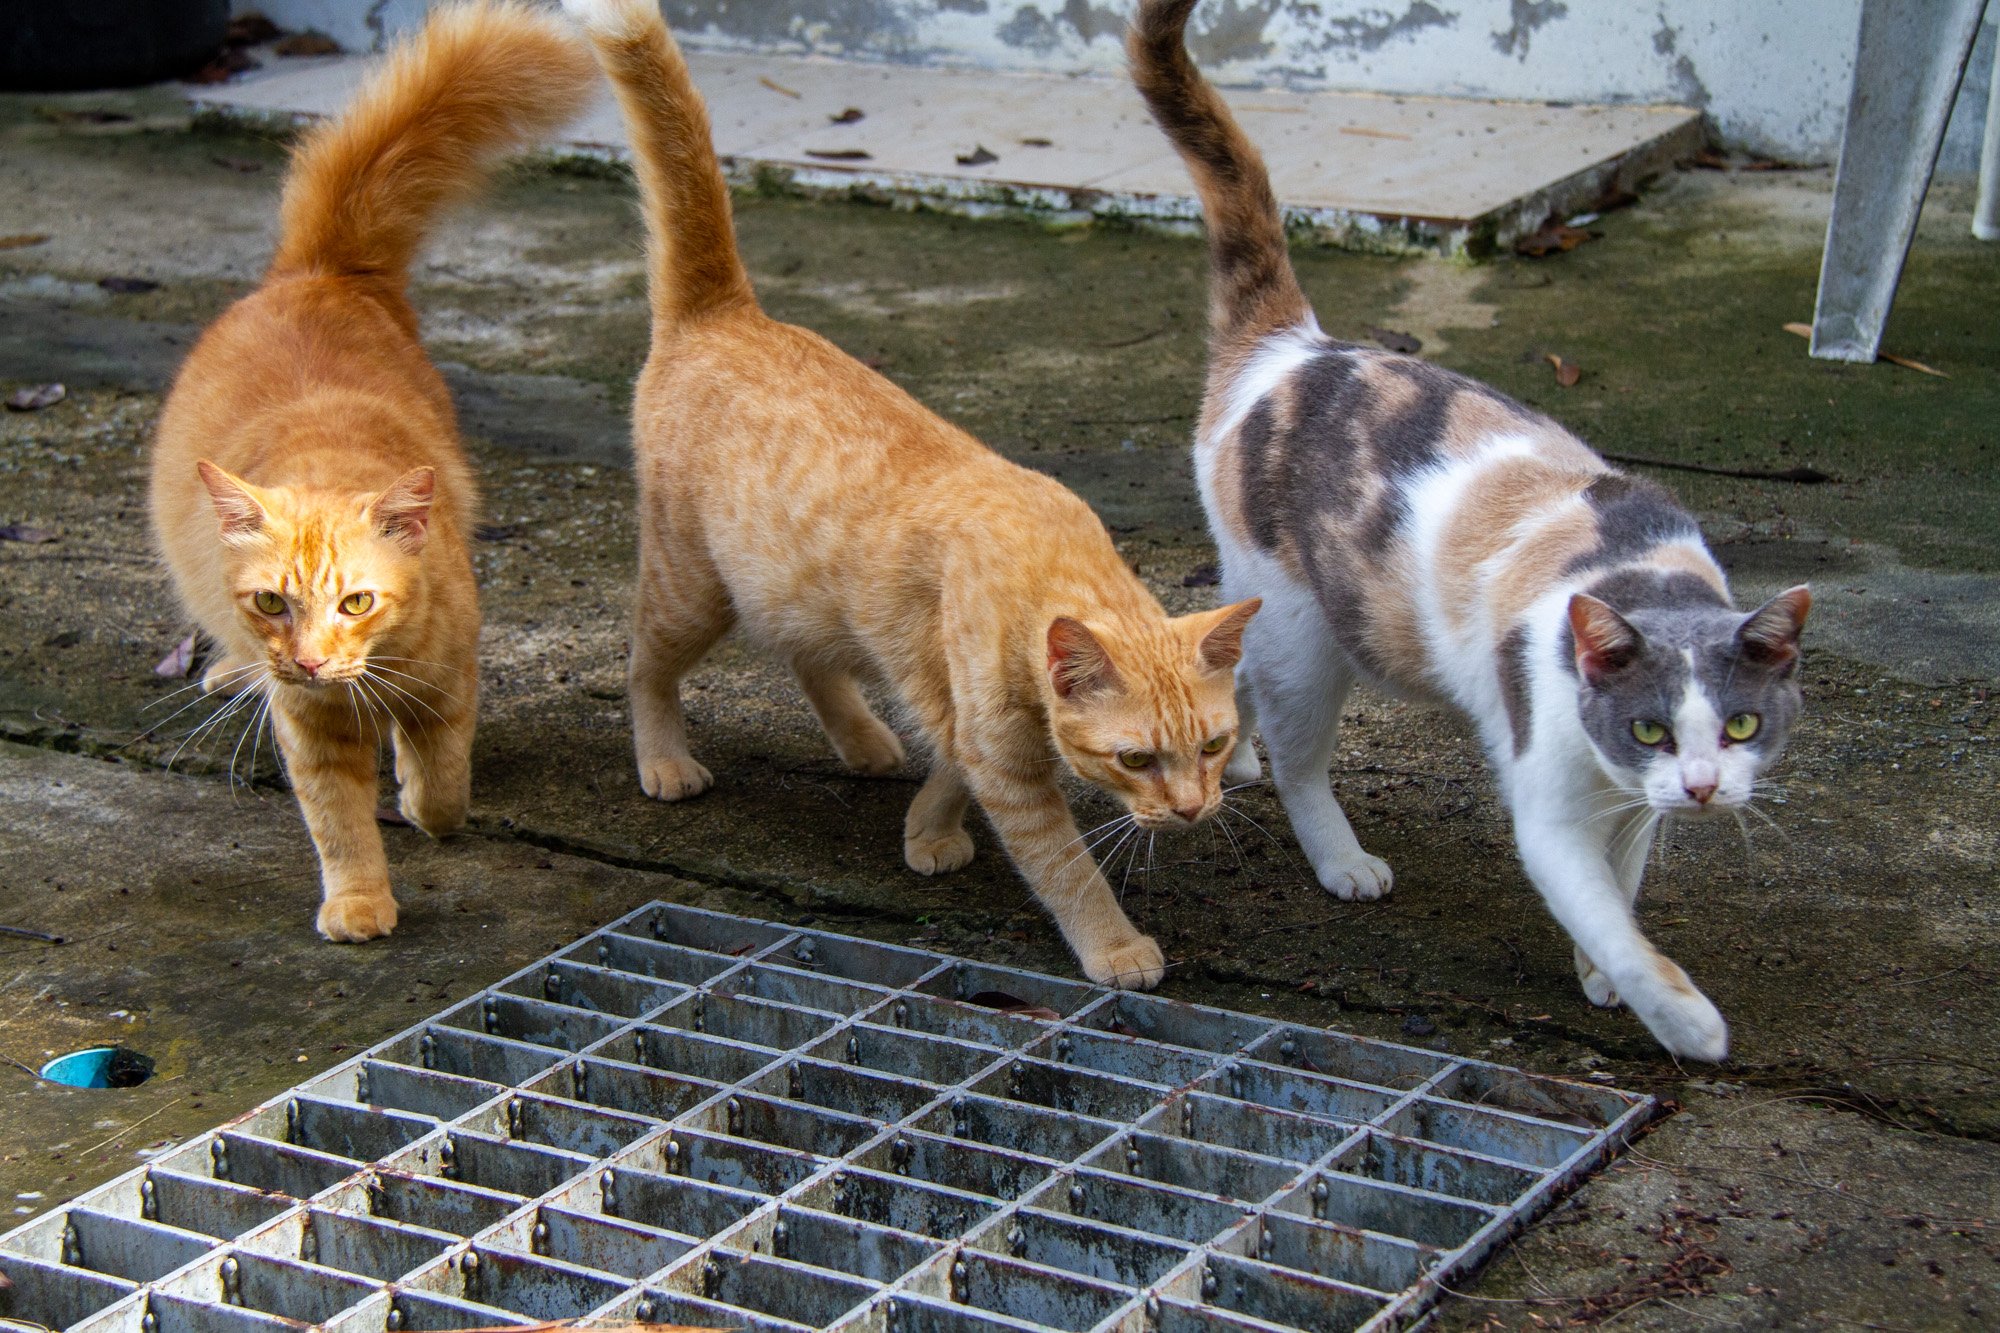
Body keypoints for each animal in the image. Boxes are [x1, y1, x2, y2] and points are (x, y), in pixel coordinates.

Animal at [149, 2, 592, 932]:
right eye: (273, 602)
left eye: (356, 600)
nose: (310, 661)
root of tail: (318, 270)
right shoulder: (312, 730)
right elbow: (340, 823)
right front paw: (359, 900)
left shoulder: (450, 688)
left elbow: (444, 782)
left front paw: (427, 809)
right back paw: (234, 669)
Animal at [564, 0, 1256, 984]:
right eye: (1137, 757)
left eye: (1213, 743)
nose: (1195, 808)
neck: (1055, 565)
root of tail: (726, 311)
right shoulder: (999, 749)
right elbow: (1061, 862)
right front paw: (1114, 944)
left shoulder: (961, 711)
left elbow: (951, 765)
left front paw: (926, 827)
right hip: (692, 587)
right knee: (644, 663)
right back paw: (664, 757)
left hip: (801, 592)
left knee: (808, 657)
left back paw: (862, 741)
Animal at [1128, 2, 1816, 1056]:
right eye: (1652, 726)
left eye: (1742, 724)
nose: (1703, 788)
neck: (1642, 577)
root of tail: (1295, 347)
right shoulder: (1552, 807)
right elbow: (1611, 920)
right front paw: (1684, 1019)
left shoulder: (1630, 802)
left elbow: (1621, 889)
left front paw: (1600, 969)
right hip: (1310, 628)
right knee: (1298, 752)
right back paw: (1336, 852)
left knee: (1226, 658)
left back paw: (1231, 752)